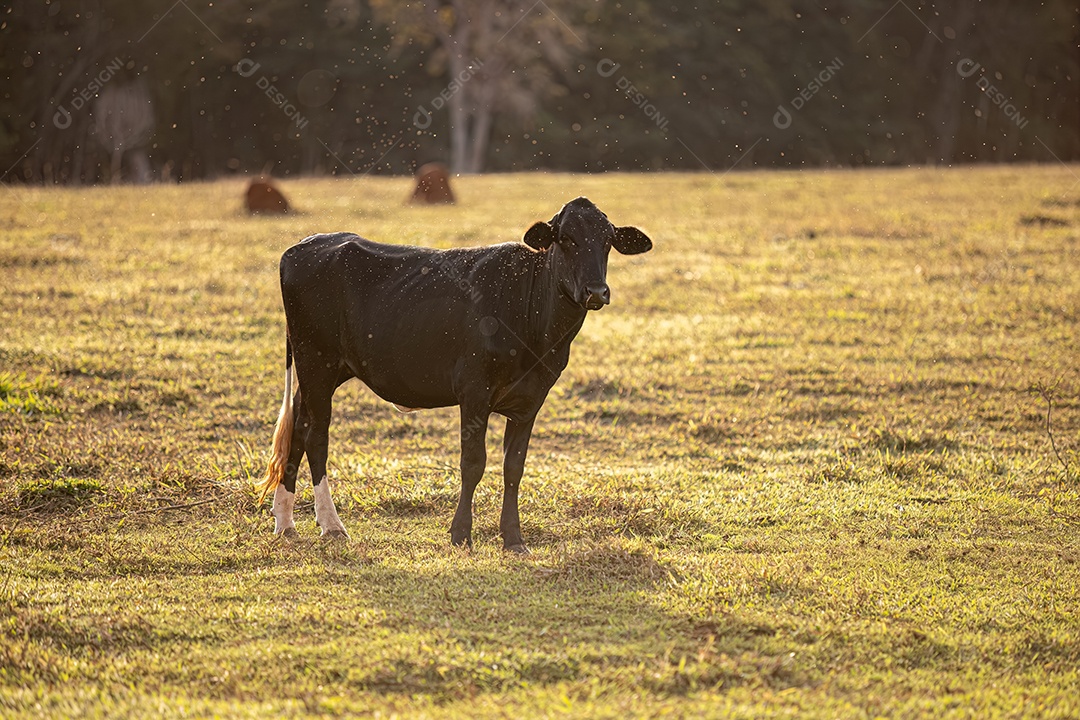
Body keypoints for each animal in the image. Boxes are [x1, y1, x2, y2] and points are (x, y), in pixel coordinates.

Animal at [255, 197, 652, 553]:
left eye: (607, 241)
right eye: (566, 238)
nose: (596, 291)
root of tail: (306, 244)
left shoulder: (531, 399)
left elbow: (514, 468)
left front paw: (513, 539)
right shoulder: (474, 392)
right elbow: (473, 463)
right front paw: (461, 534)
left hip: (323, 371)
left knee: (298, 427)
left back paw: (285, 522)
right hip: (316, 363)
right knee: (316, 434)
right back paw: (331, 525)